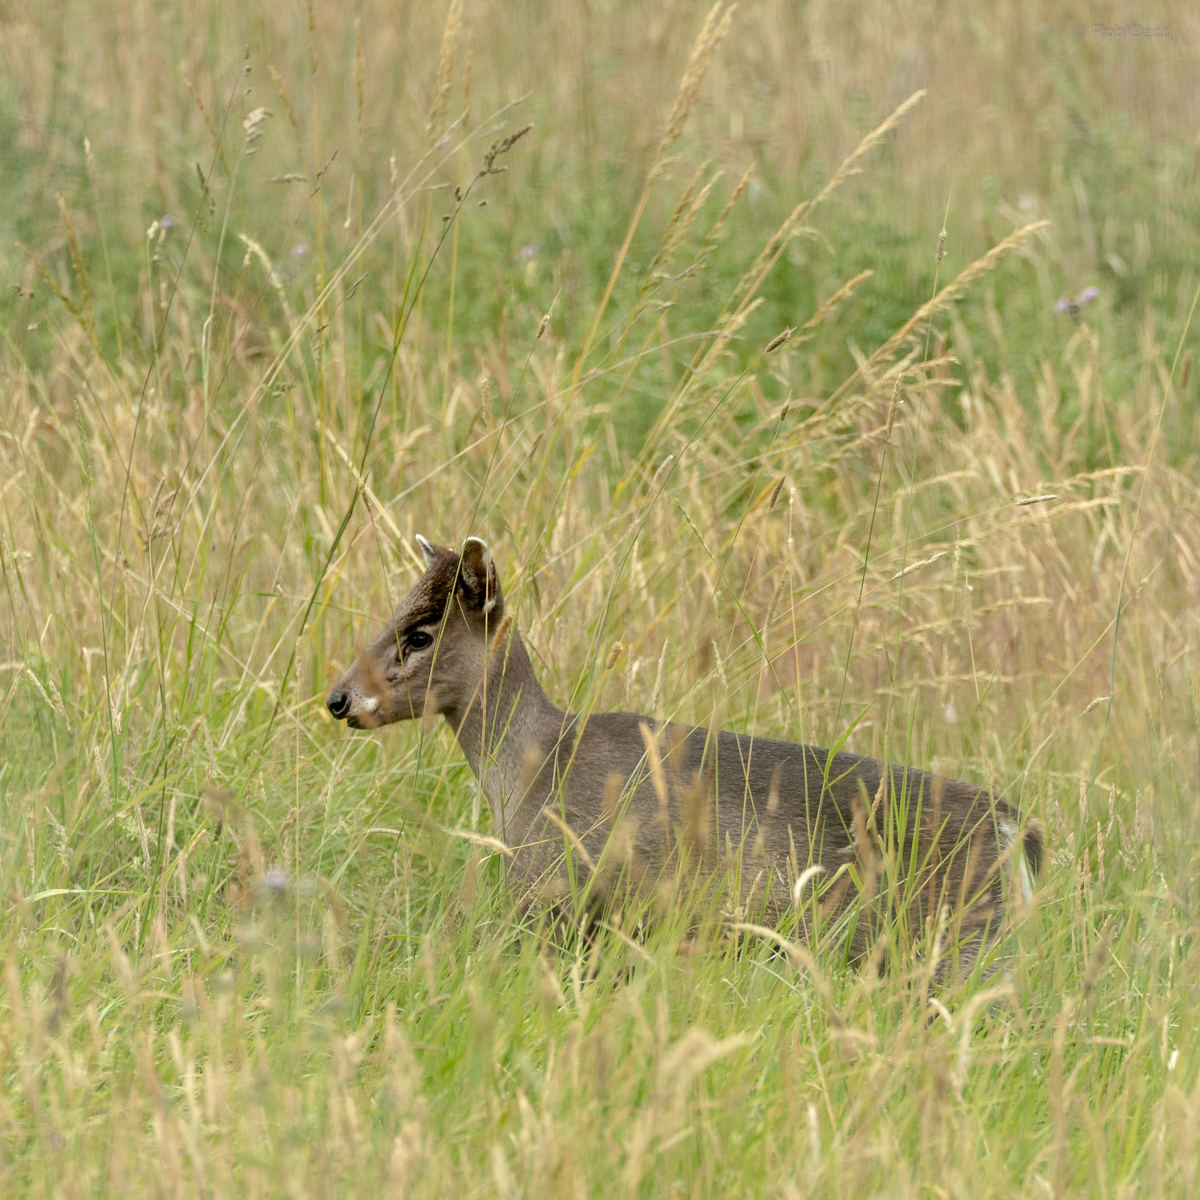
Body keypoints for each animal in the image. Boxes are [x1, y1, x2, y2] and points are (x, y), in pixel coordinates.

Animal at [327, 536, 1043, 977]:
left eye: (420, 634)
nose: (338, 697)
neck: (532, 774)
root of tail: (1017, 828)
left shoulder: (563, 896)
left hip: (953, 942)